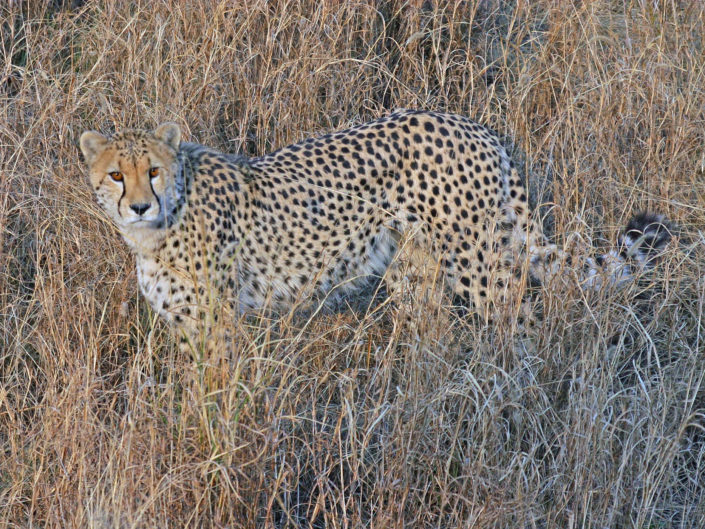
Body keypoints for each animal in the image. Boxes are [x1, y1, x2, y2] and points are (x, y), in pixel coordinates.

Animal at [80, 110, 671, 348]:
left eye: (153, 171)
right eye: (116, 175)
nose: (138, 206)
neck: (158, 230)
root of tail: (471, 124)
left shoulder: (218, 324)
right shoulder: (187, 326)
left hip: (475, 263)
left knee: (520, 316)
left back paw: (518, 392)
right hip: (415, 273)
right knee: (436, 335)